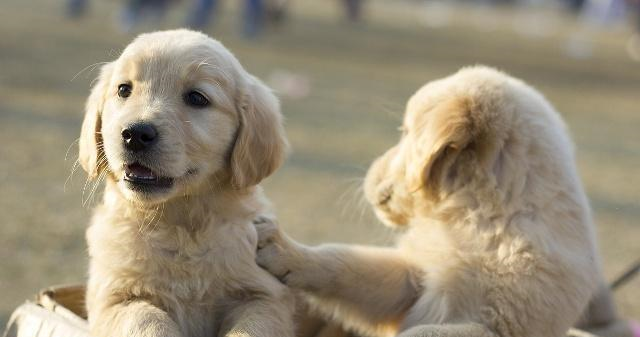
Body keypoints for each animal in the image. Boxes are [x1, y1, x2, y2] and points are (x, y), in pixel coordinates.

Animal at [78, 28, 296, 336]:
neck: (180, 226)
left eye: (197, 98)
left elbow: (250, 327)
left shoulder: (266, 296)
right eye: (123, 90)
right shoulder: (114, 298)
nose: (135, 134)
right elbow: (147, 320)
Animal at [256, 65, 616, 336]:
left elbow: (430, 331)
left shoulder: (498, 325)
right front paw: (285, 250)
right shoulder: (411, 278)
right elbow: (346, 263)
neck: (482, 221)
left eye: (404, 132)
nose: (368, 173)